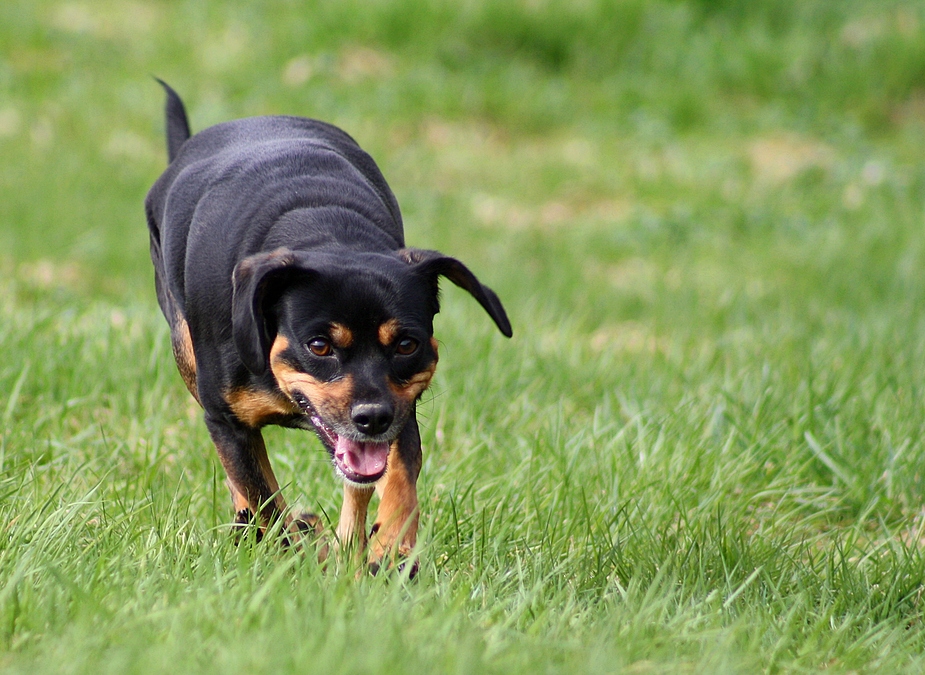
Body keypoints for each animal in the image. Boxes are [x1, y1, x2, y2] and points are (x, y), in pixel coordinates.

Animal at [143, 83, 512, 572]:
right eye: (318, 346)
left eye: (407, 344)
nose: (372, 417)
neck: (329, 235)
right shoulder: (225, 418)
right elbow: (261, 496)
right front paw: (294, 545)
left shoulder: (401, 408)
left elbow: (398, 477)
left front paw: (389, 547)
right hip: (185, 350)